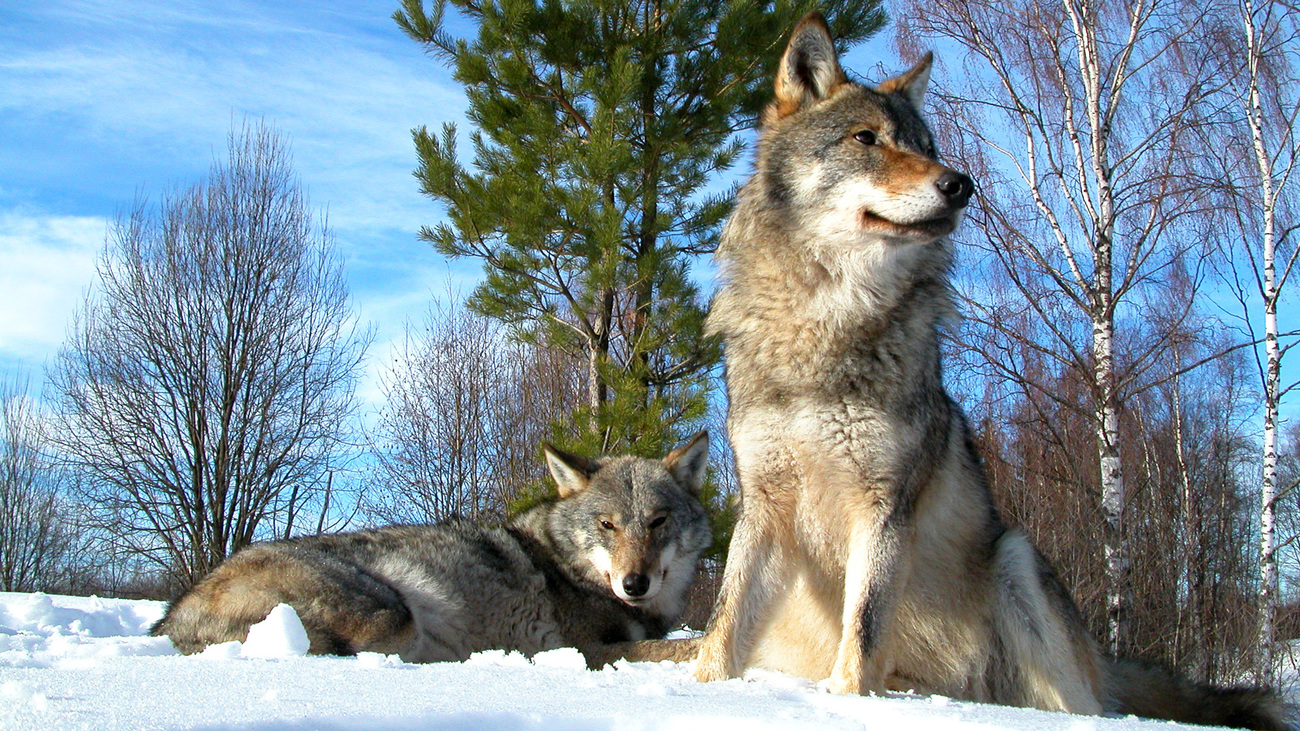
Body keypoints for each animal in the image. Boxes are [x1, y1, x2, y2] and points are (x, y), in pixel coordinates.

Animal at [152, 429, 712, 663]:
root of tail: (170, 620)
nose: (634, 583)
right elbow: (682, 646)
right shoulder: (586, 649)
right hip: (392, 616)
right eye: (607, 525)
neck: (569, 568)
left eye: (657, 522)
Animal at [686, 11, 1294, 728]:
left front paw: (846, 702)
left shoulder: (885, 506)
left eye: (925, 145)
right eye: (867, 139)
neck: (824, 322)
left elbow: (861, 628)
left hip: (1017, 560)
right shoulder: (763, 506)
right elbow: (723, 625)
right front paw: (702, 689)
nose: (959, 183)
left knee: (1090, 706)